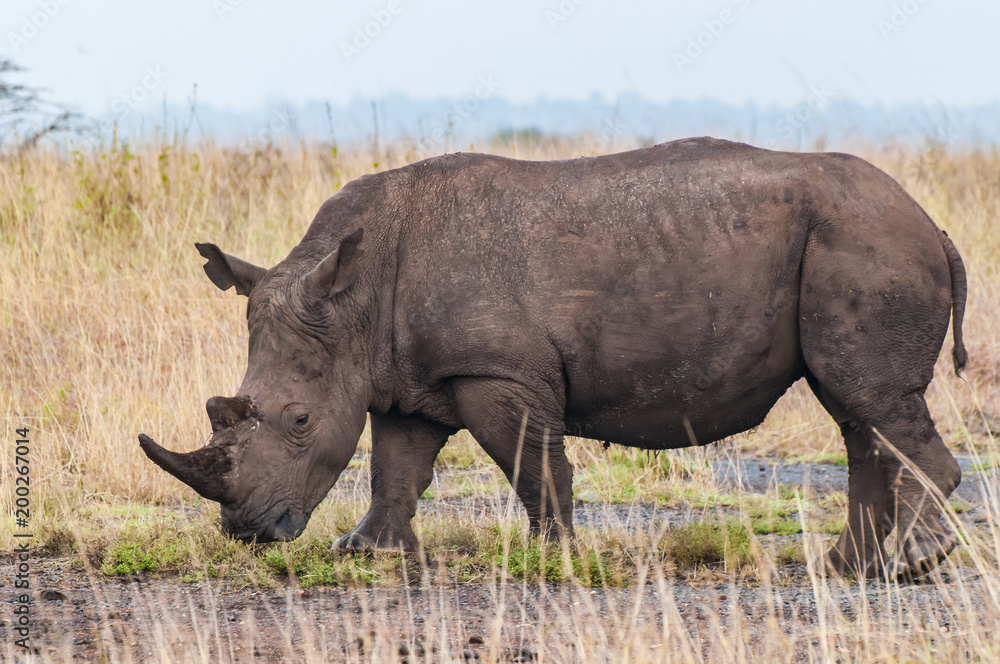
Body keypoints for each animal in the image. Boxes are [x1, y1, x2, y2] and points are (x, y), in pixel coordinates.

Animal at [139, 137, 968, 579]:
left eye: (300, 420)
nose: (247, 531)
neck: (354, 300)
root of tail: (932, 222)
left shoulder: (495, 372)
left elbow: (532, 464)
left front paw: (556, 558)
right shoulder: (408, 376)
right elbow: (395, 466)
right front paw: (367, 552)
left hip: (866, 245)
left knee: (871, 404)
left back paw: (912, 565)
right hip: (854, 244)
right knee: (858, 414)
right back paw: (847, 569)